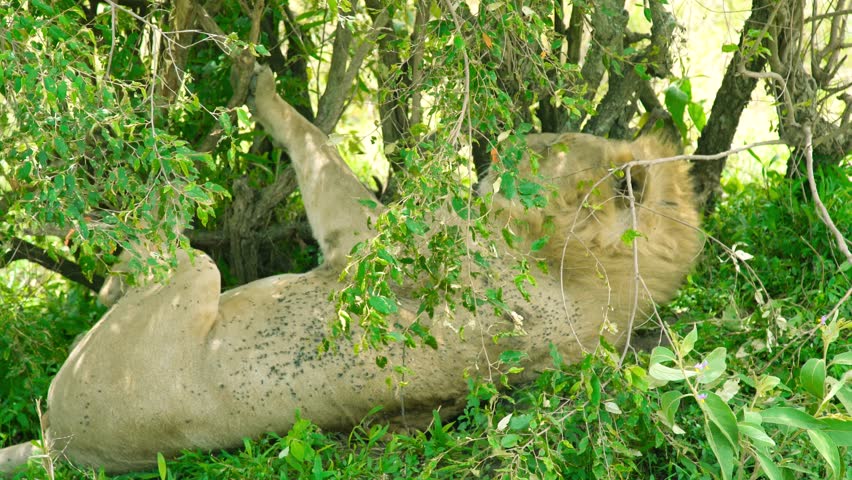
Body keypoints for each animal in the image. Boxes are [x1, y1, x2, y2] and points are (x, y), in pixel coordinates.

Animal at [0, 65, 701, 475]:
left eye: (546, 149)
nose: (502, 141)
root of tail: (61, 447)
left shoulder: (369, 240)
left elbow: (313, 144)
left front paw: (260, 86)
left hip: (193, 279)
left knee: (147, 248)